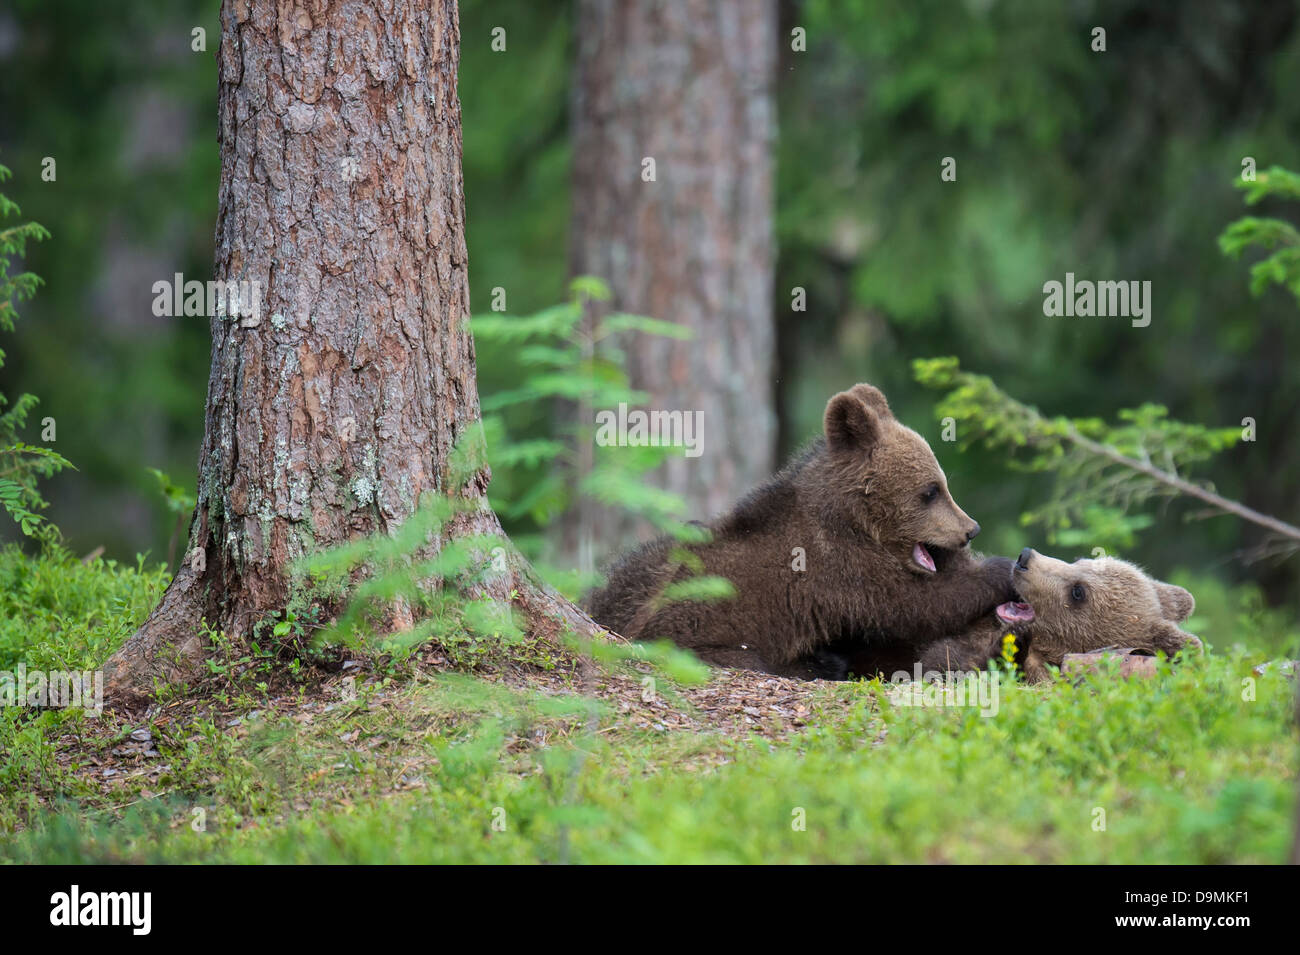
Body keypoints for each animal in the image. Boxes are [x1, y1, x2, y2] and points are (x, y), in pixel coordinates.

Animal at [584, 383, 1018, 677]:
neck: (856, 519)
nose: (971, 529)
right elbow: (922, 604)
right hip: (696, 630)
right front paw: (1001, 569)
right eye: (930, 490)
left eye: (942, 484)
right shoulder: (839, 566)